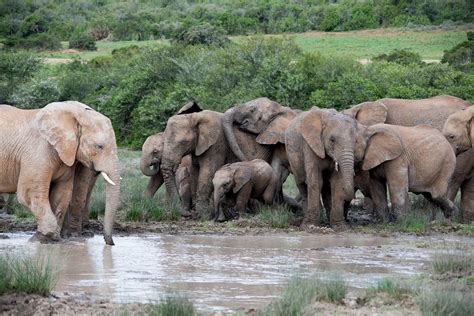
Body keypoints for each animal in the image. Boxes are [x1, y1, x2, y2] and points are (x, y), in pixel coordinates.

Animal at [0, 101, 120, 244]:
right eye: (99, 146)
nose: (111, 243)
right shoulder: (37, 151)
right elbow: (29, 193)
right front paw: (44, 238)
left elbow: (62, 192)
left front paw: (50, 239)